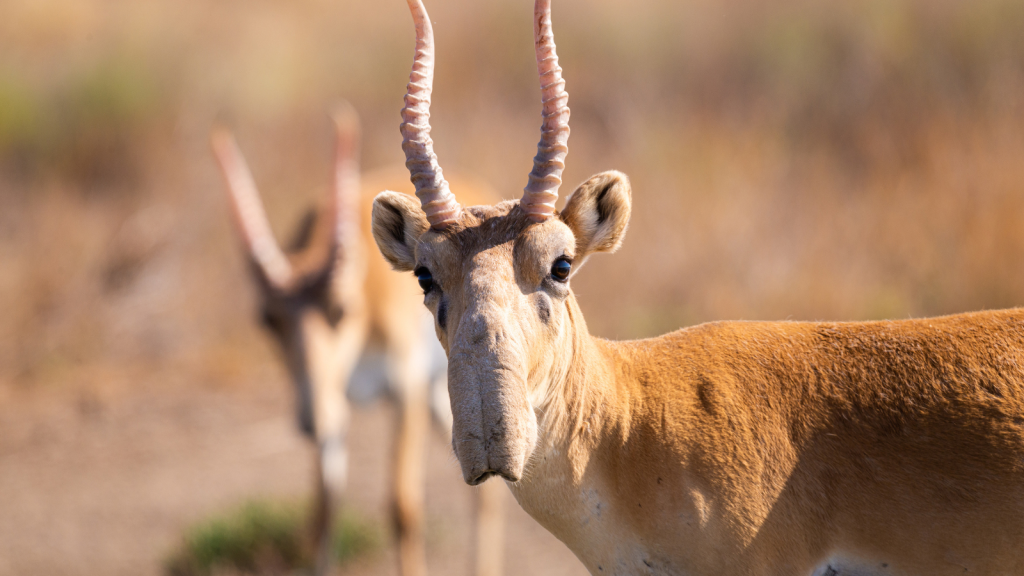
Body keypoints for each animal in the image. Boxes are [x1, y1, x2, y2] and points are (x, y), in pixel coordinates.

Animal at [211, 101, 507, 573]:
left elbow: (403, 508)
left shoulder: (403, 391)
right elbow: (323, 513)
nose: (310, 419)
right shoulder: (339, 406)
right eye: (267, 319)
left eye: (340, 310)